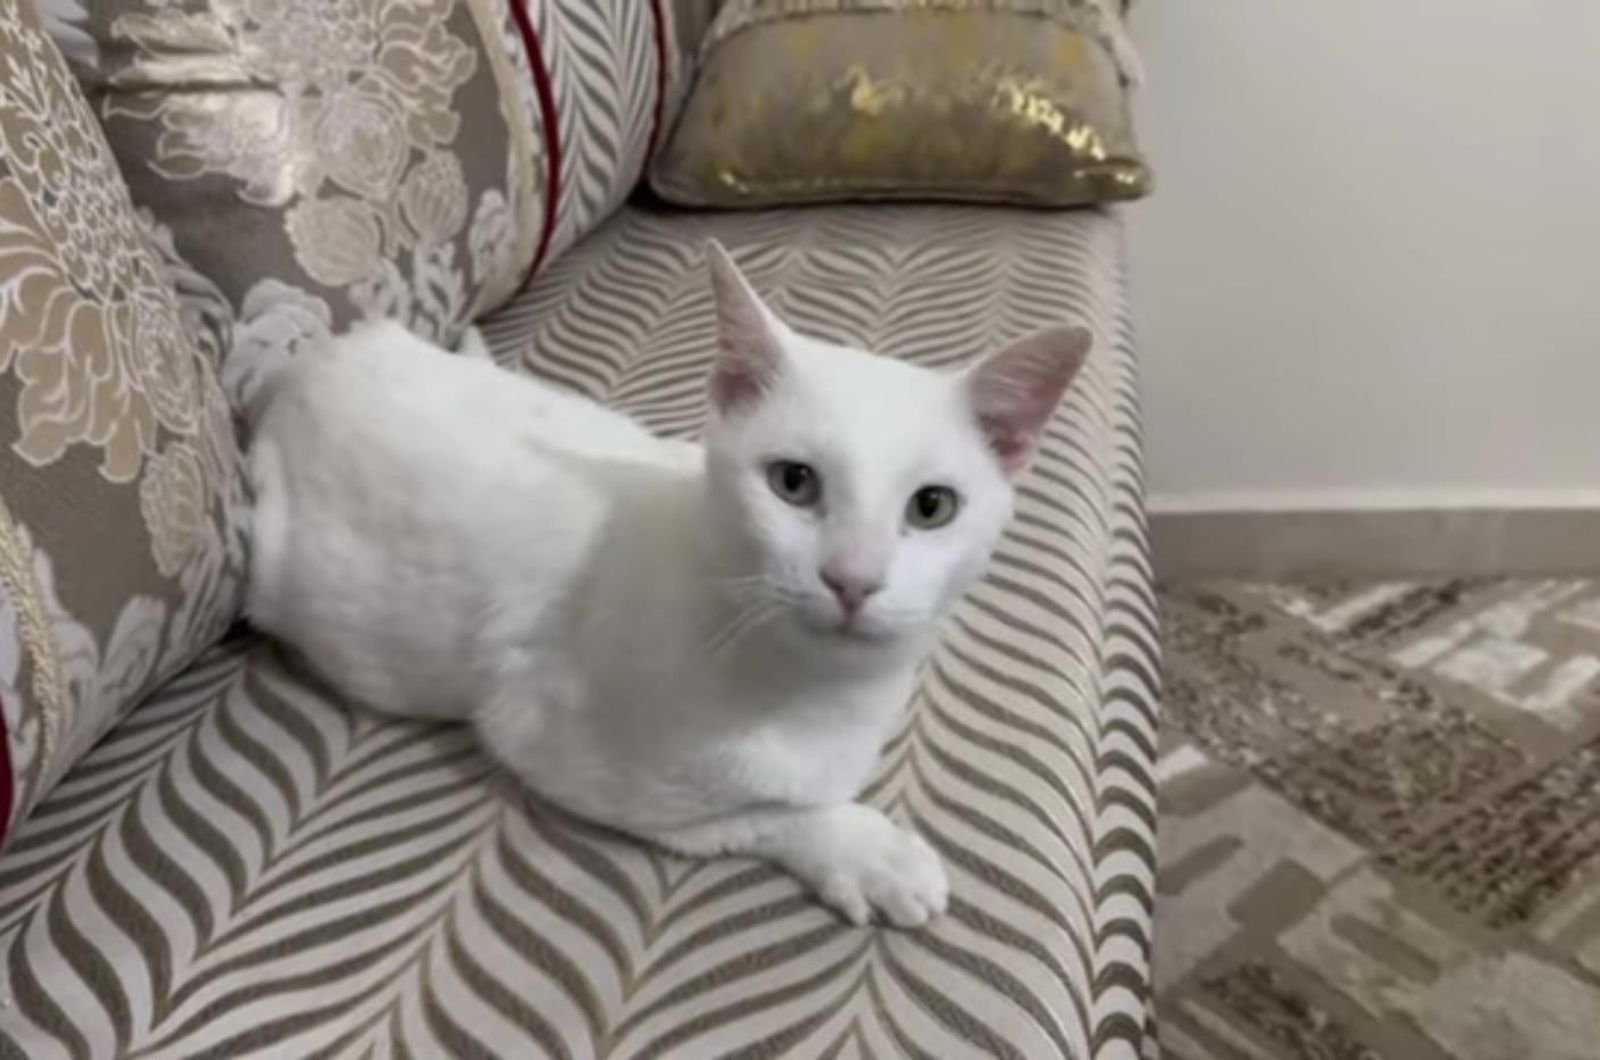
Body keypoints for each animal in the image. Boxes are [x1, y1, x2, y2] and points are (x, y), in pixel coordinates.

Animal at [249, 244, 1094, 928]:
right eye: (793, 482)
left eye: (932, 507)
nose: (853, 579)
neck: (819, 690)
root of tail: (332, 351)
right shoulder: (559, 748)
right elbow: (772, 811)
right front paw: (869, 853)